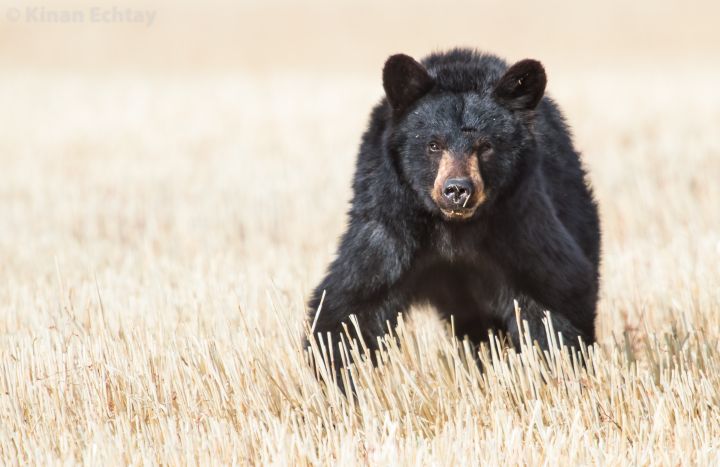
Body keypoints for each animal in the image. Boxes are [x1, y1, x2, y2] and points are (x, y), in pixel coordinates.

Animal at [306, 48, 600, 385]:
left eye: (485, 146)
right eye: (434, 144)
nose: (457, 190)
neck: (454, 230)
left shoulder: (519, 225)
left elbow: (556, 296)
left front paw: (559, 372)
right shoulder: (392, 225)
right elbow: (353, 304)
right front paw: (340, 380)